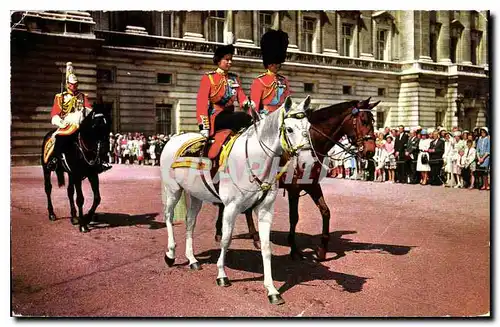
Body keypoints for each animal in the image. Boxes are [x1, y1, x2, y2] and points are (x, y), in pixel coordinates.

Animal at [160, 96, 312, 306]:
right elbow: (225, 239)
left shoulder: (265, 210)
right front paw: (222, 275)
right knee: (168, 217)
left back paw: (192, 260)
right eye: (289, 129)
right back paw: (170, 254)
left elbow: (266, 247)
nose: (308, 162)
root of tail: (174, 137)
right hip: (173, 190)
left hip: (196, 194)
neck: (257, 161)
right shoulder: (231, 207)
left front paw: (272, 289)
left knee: (190, 223)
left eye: (309, 126)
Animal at [213, 97, 376, 262]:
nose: (371, 151)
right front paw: (294, 249)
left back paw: (254, 238)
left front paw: (322, 250)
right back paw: (222, 233)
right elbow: (294, 217)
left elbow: (325, 211)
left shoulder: (312, 185)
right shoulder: (294, 188)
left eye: (373, 120)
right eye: (364, 121)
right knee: (222, 203)